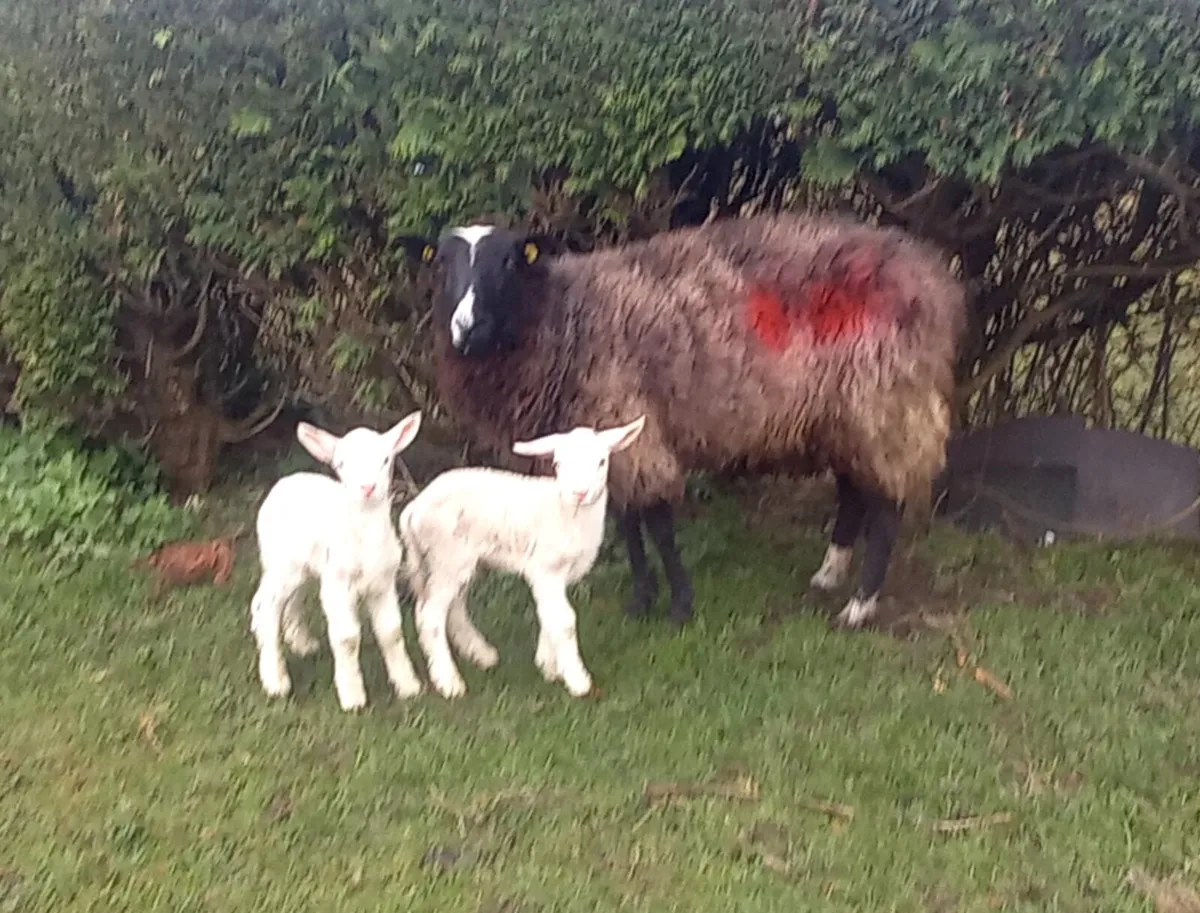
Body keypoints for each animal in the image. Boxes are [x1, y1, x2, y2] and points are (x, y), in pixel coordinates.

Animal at [249, 412, 424, 711]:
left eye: (385, 460)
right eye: (341, 464)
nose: (368, 488)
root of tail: (284, 483)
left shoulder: (384, 582)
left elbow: (391, 633)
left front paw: (408, 686)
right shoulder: (338, 584)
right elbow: (347, 639)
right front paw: (353, 697)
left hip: (303, 566)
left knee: (293, 597)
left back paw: (301, 642)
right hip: (282, 562)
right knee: (265, 605)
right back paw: (276, 680)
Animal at [396, 212, 967, 630]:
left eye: (509, 263)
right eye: (442, 265)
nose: (465, 329)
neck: (563, 319)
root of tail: (932, 276)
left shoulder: (632, 424)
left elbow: (658, 524)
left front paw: (678, 606)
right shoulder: (608, 437)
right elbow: (628, 524)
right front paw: (643, 600)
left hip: (885, 399)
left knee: (887, 503)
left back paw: (859, 607)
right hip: (843, 410)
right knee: (853, 489)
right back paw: (829, 573)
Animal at [398, 415, 646, 699]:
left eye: (602, 461)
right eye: (557, 464)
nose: (579, 493)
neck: (565, 512)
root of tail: (413, 509)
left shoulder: (551, 574)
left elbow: (549, 614)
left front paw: (549, 666)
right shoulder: (546, 567)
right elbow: (564, 620)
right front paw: (577, 680)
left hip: (454, 561)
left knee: (453, 607)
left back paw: (481, 654)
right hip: (447, 556)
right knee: (430, 615)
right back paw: (449, 682)